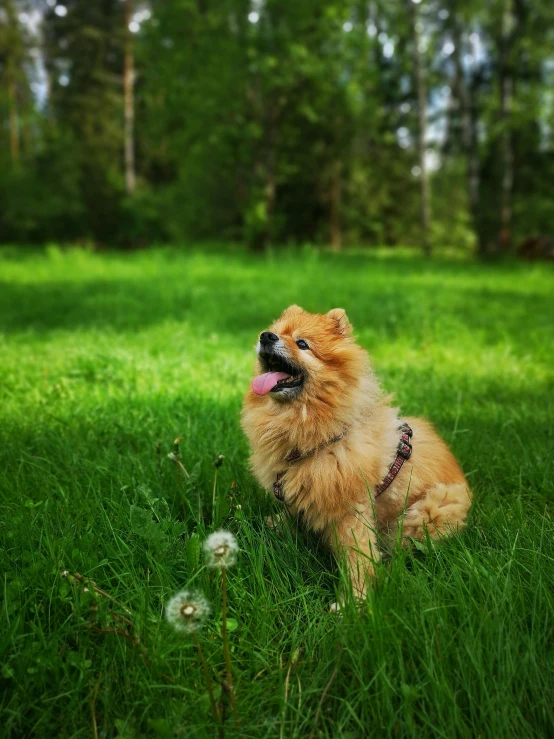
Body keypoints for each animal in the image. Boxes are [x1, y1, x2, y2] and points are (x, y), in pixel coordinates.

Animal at [242, 304, 470, 604]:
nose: (266, 336)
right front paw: (277, 524)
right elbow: (293, 511)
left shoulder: (352, 509)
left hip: (429, 510)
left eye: (302, 344)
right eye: (276, 332)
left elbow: (358, 558)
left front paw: (354, 601)